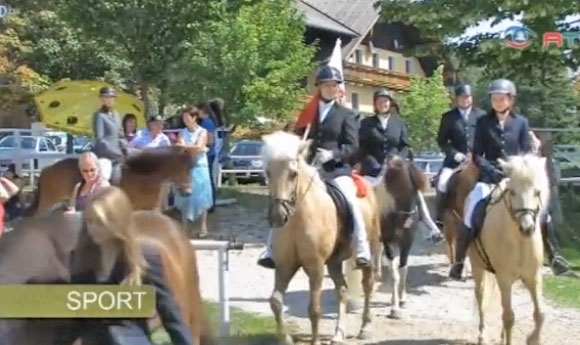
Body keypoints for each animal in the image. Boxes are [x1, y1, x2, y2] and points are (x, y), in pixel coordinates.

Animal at [262, 131, 380, 344]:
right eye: (268, 172)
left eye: (293, 174)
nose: (277, 217)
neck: (299, 219)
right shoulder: (285, 266)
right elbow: (275, 301)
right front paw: (286, 339)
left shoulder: (315, 267)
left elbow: (314, 309)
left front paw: (315, 341)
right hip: (334, 261)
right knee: (342, 290)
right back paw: (338, 334)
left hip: (372, 248)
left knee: (368, 285)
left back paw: (365, 328)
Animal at [374, 155, 428, 318]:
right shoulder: (388, 241)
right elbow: (394, 273)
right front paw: (394, 307)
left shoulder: (407, 242)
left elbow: (403, 269)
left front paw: (402, 299)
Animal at [472, 155, 548, 344]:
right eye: (512, 192)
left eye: (537, 192)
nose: (527, 228)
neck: (519, 241)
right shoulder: (504, 278)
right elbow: (509, 318)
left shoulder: (534, 277)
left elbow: (540, 314)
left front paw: (533, 339)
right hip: (477, 267)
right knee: (481, 297)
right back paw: (482, 334)